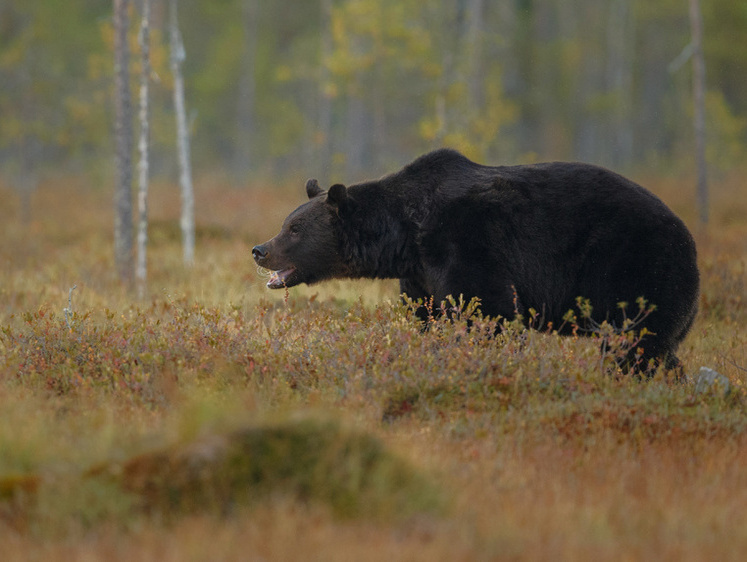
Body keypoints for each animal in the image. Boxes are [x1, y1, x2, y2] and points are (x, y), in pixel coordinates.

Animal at [253, 148, 700, 372]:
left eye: (294, 229)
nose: (259, 249)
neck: (406, 235)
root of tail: (689, 238)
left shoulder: (468, 241)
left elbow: (489, 311)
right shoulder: (421, 274)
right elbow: (430, 314)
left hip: (636, 268)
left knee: (637, 341)